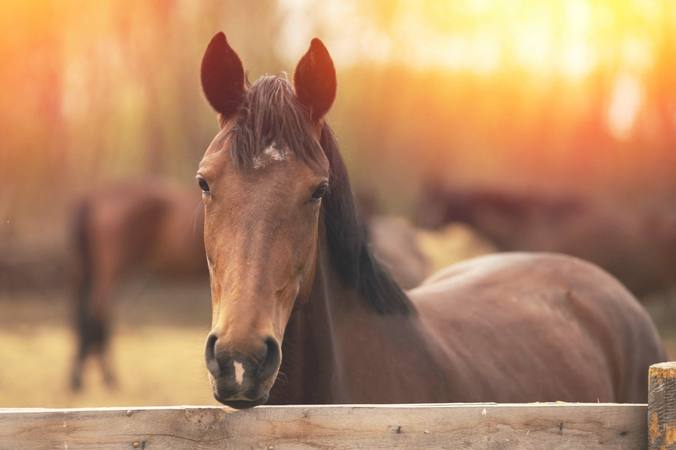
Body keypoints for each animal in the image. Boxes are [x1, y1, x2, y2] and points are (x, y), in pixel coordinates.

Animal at [69, 179, 206, 390]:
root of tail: (92, 200)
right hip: (109, 271)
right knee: (98, 315)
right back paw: (106, 377)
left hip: (89, 271)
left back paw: (81, 379)